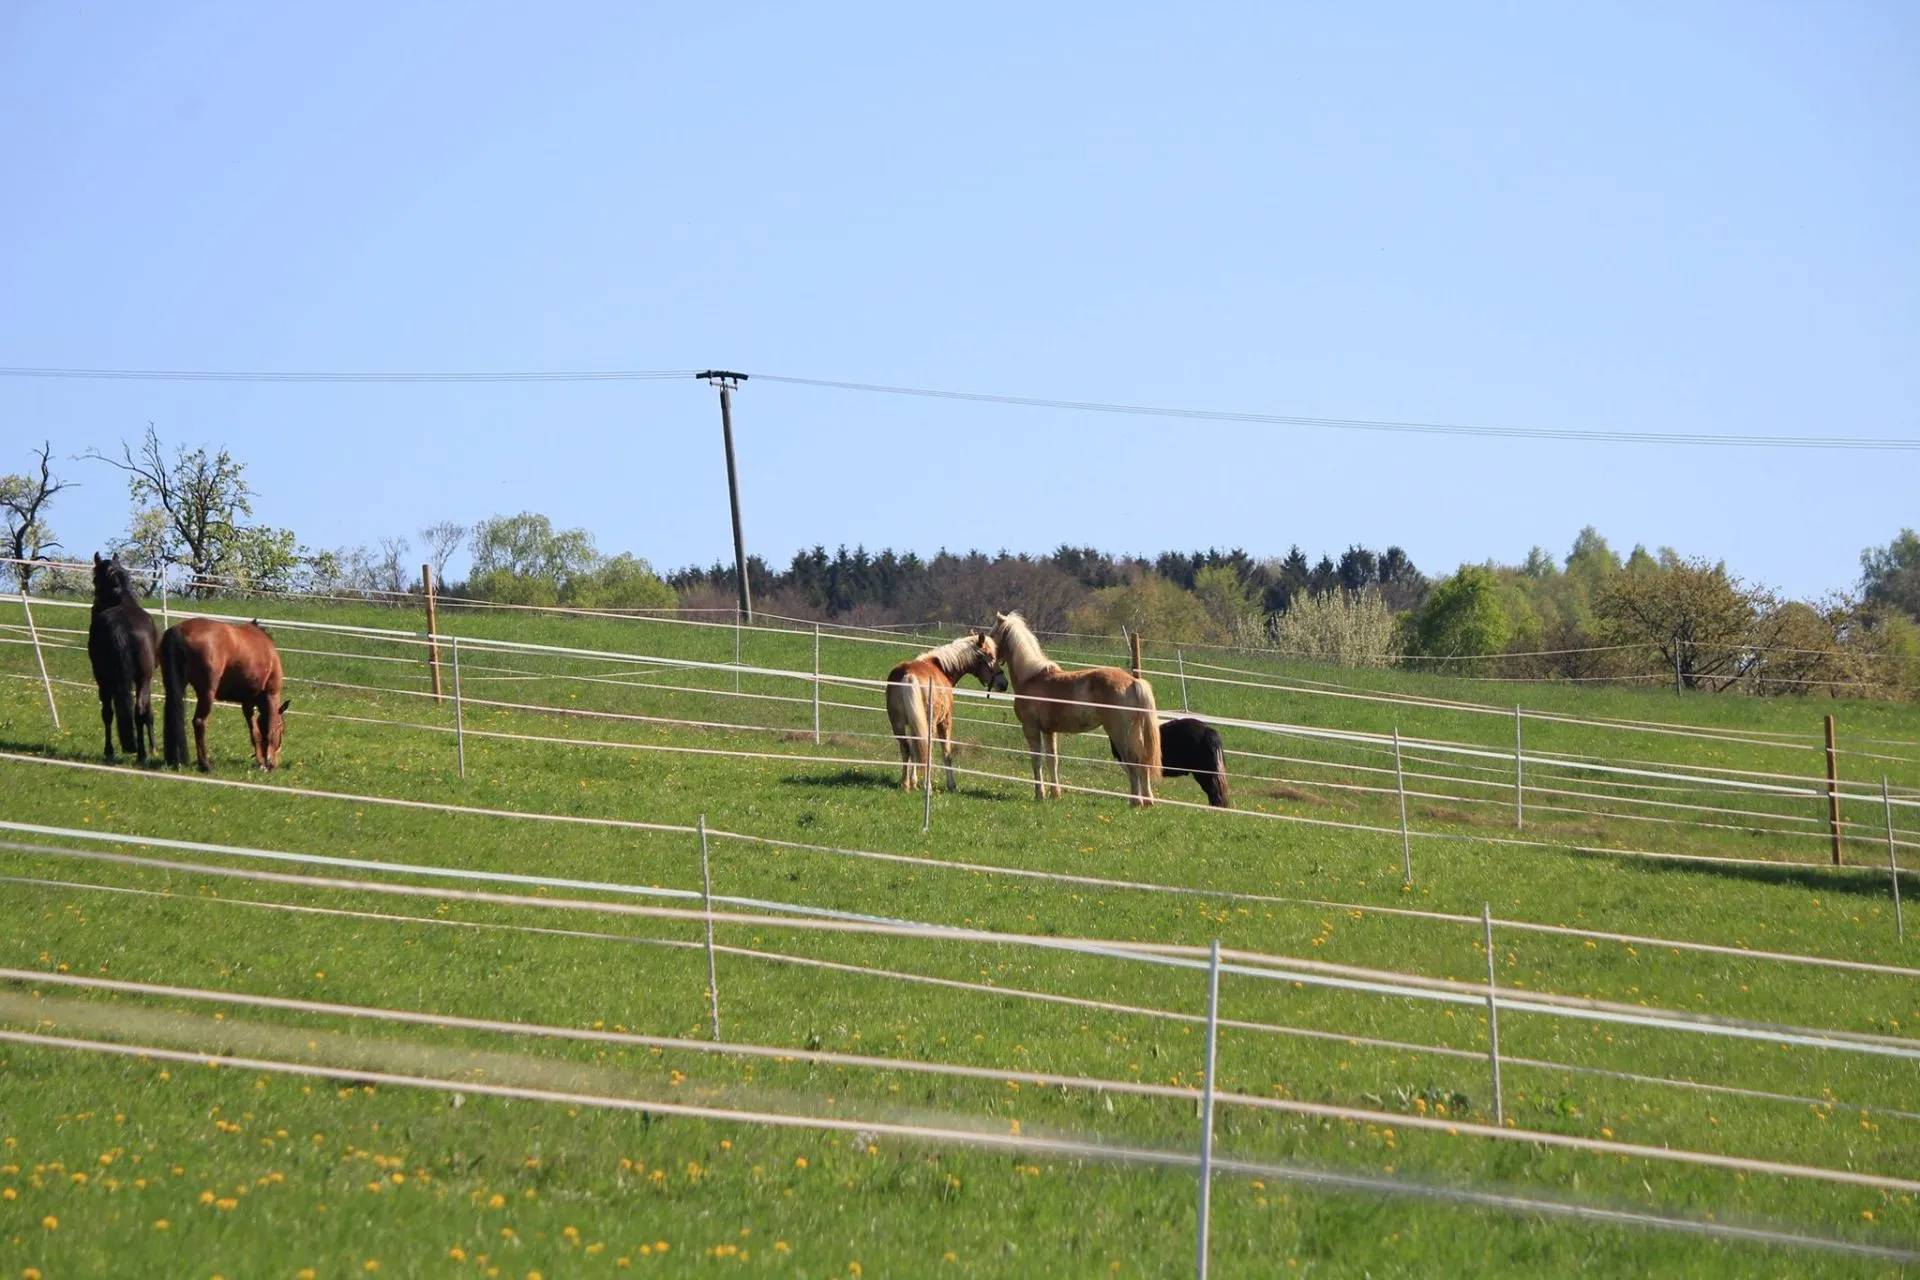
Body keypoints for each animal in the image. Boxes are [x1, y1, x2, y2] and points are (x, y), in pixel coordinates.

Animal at [86, 553, 160, 764]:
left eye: (95, 580)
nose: (94, 609)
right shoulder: (148, 678)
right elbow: (148, 711)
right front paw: (153, 748)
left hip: (104, 679)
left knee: (108, 713)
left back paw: (110, 751)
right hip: (142, 677)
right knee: (139, 711)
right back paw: (141, 754)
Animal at [161, 617, 290, 771]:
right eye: (282, 728)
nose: (276, 763)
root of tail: (179, 630)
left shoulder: (247, 702)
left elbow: (255, 732)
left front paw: (260, 761)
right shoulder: (271, 694)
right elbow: (269, 731)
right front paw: (267, 763)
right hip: (207, 693)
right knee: (199, 722)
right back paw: (205, 765)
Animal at [886, 629, 1007, 791]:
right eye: (991, 657)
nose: (1004, 684)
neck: (941, 668)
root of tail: (908, 675)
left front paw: (913, 781)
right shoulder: (945, 721)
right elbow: (946, 753)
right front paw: (951, 785)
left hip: (898, 724)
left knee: (907, 748)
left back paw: (905, 784)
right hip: (929, 724)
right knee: (926, 749)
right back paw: (928, 786)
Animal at [986, 611, 1161, 807]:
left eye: (992, 636)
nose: (1000, 681)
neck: (1031, 677)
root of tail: (1133, 682)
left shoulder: (1031, 728)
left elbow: (1036, 760)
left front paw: (1040, 794)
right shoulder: (1048, 731)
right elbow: (1052, 760)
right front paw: (1055, 794)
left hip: (1119, 734)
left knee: (1133, 761)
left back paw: (1135, 802)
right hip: (1134, 733)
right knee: (1143, 761)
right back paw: (1148, 801)